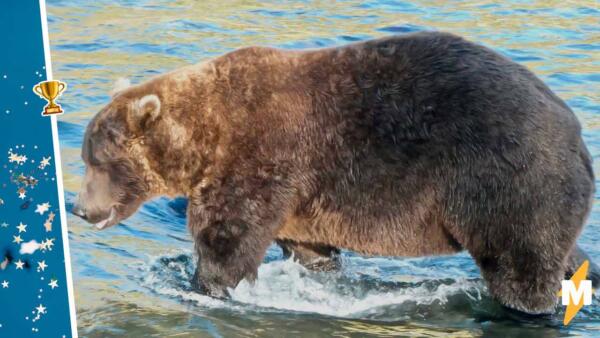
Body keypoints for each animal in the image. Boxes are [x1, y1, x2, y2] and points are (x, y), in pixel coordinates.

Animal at [71, 31, 600, 314]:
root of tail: (575, 129)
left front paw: (206, 284)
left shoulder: (258, 162)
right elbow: (310, 249)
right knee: (561, 251)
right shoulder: (299, 198)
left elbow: (227, 238)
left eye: (98, 160)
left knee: (521, 262)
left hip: (511, 178)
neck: (202, 137)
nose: (79, 208)